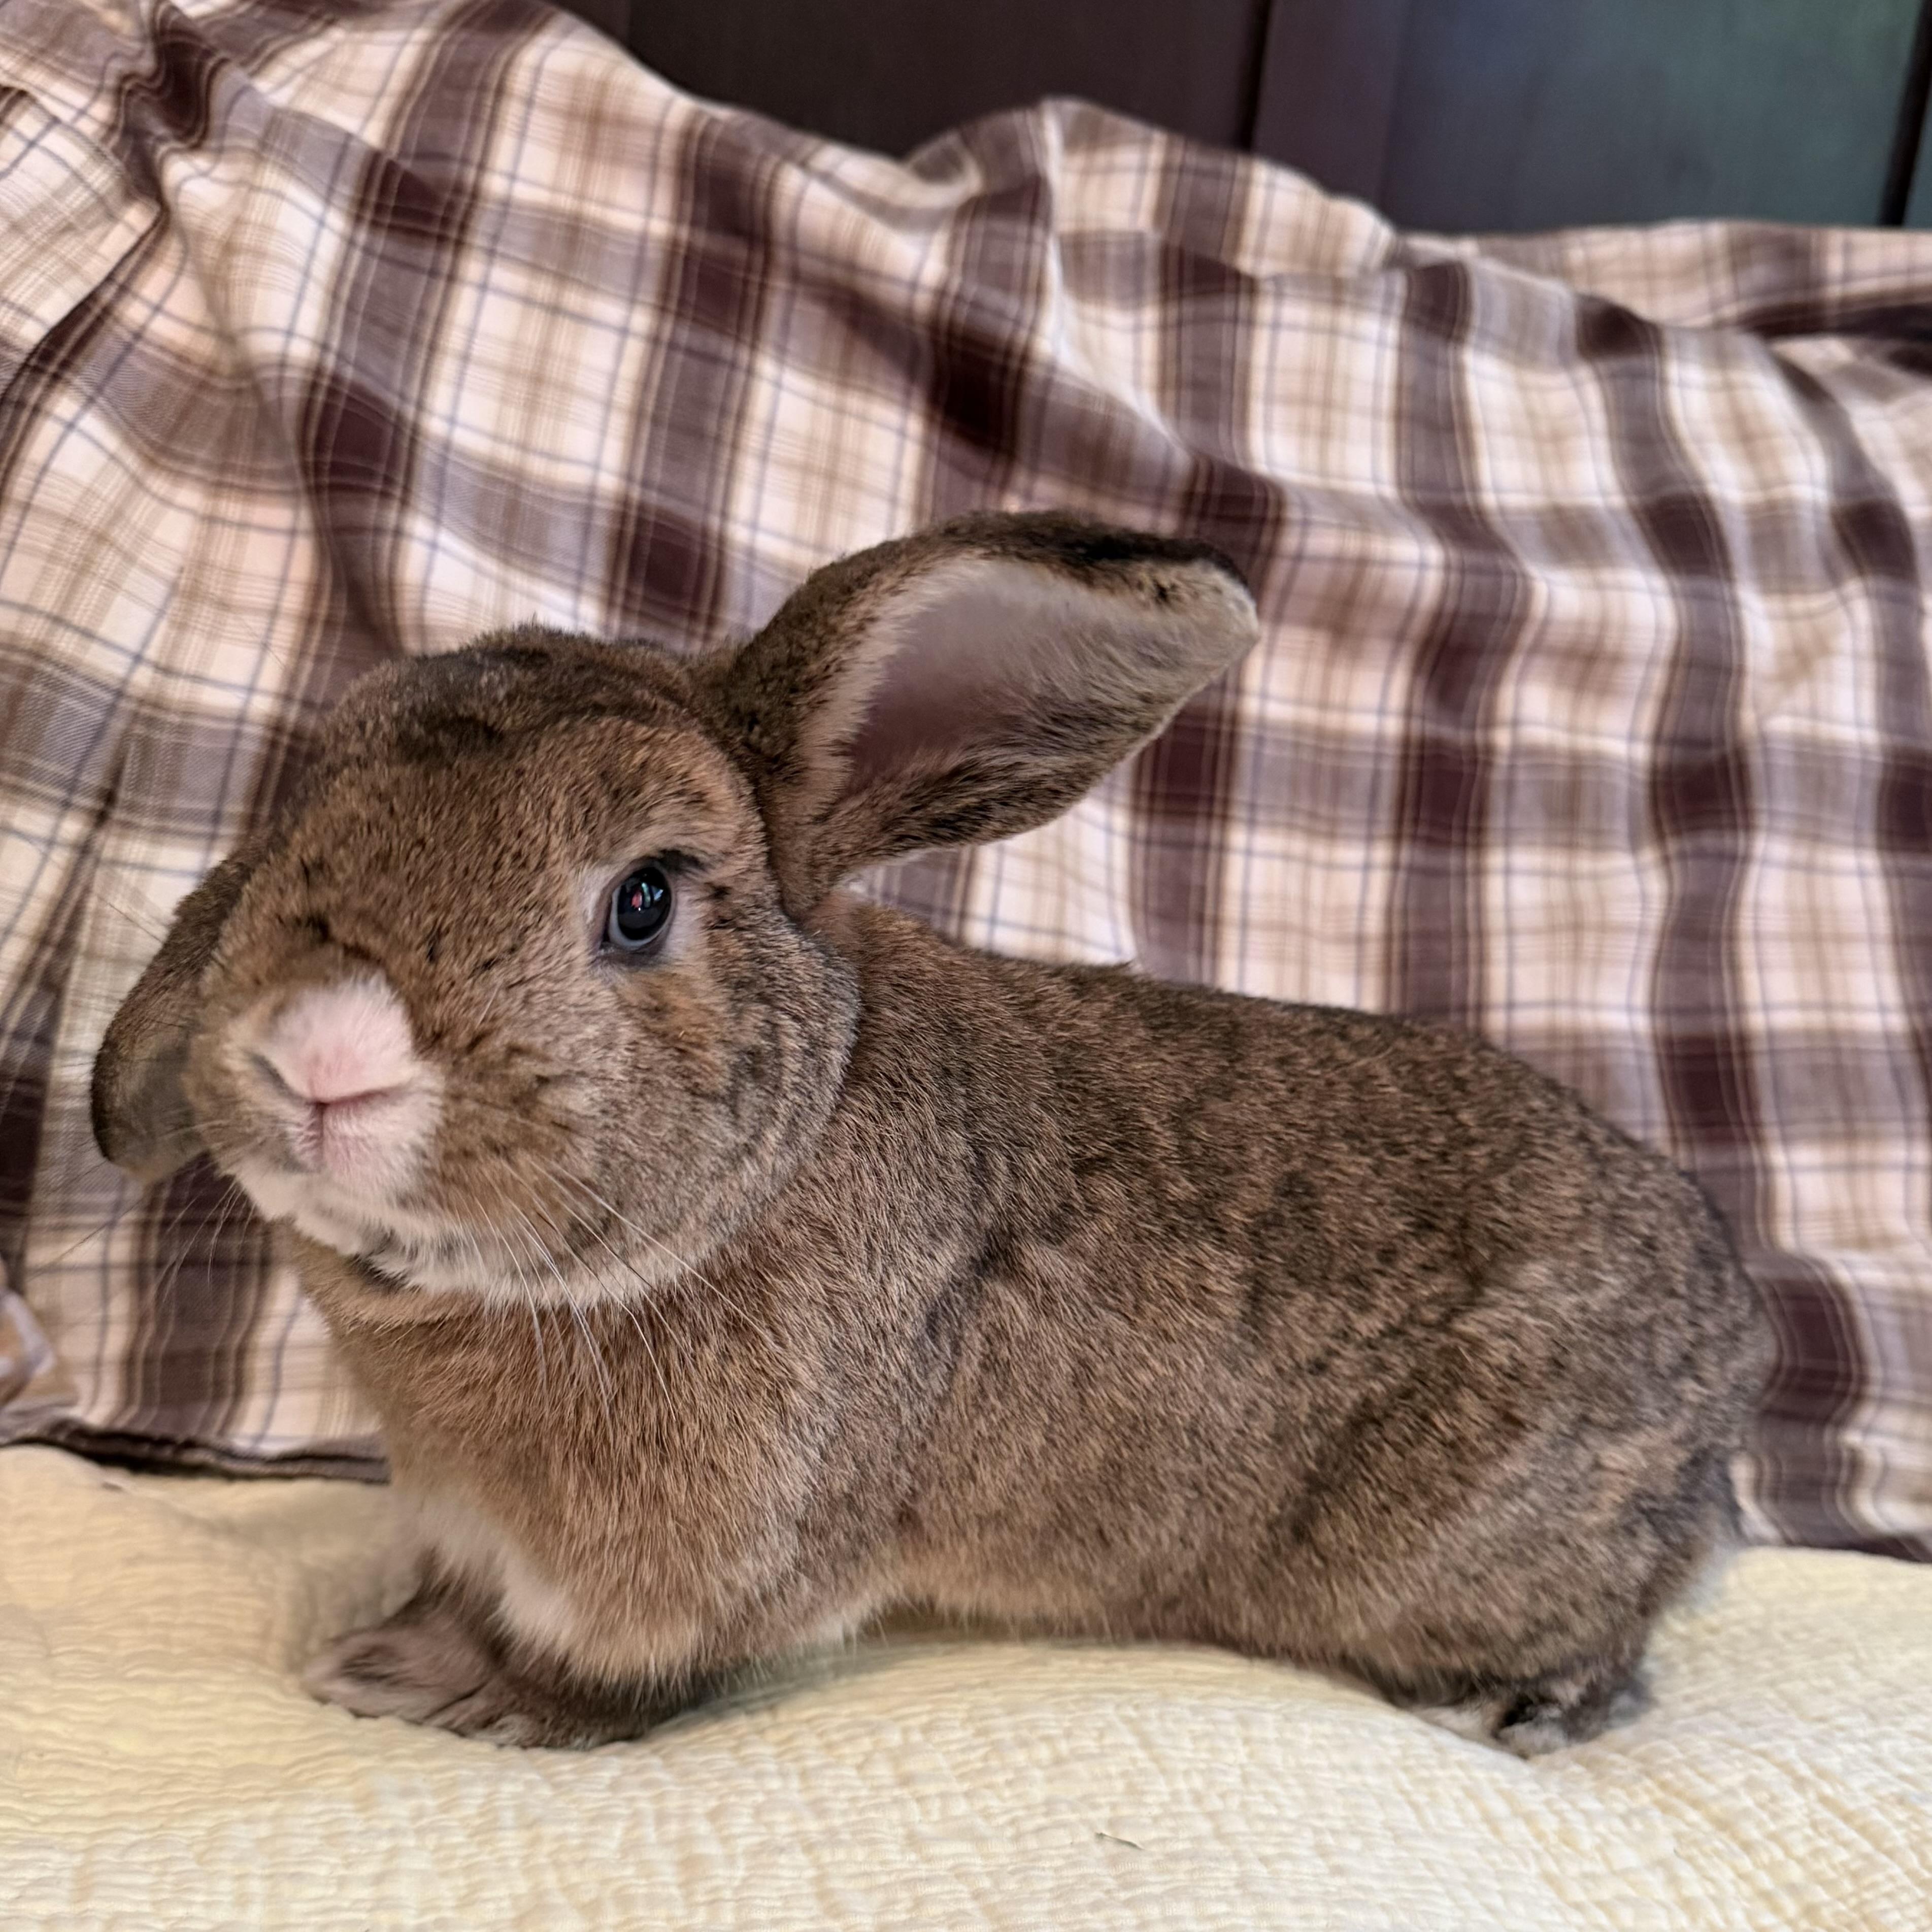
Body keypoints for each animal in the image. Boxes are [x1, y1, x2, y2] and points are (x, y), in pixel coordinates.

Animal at [92, 510, 1771, 1755]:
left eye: (640, 900)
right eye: (302, 813)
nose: (318, 1051)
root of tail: (1729, 1370)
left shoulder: (705, 1560)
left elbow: (610, 1682)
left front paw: (442, 1690)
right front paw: (394, 1643)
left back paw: (1514, 1702)